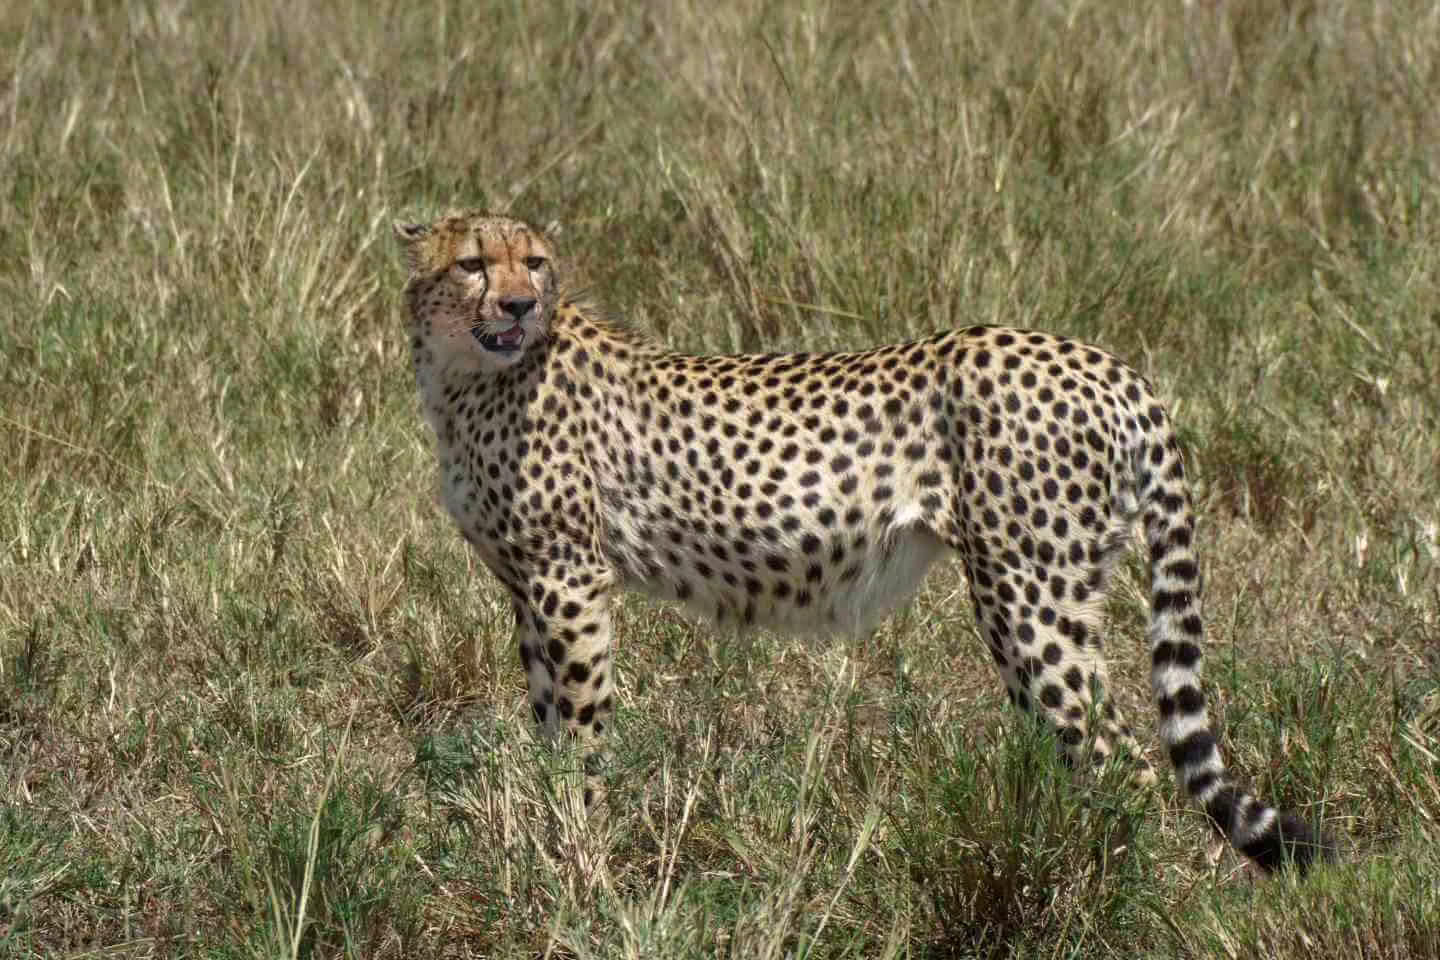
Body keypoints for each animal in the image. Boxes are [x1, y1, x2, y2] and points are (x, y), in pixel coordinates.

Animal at [394, 210, 1331, 873]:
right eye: (473, 263)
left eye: (534, 263)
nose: (520, 304)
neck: (469, 377)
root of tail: (1105, 360)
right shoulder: (529, 589)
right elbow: (548, 727)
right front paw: (548, 835)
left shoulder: (570, 579)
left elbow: (583, 736)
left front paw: (578, 857)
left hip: (1028, 596)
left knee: (1122, 760)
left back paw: (1102, 892)